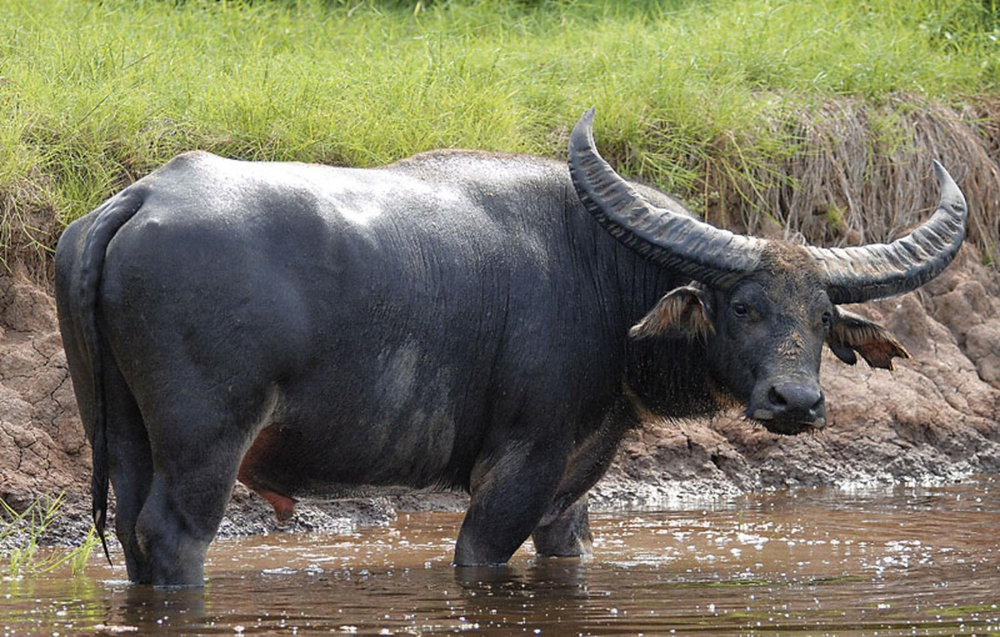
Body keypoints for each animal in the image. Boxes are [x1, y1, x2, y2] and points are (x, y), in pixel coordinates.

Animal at [52, 107, 960, 584]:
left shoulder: (575, 478)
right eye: (742, 305)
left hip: (120, 434)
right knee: (174, 536)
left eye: (822, 314)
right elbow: (480, 555)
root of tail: (138, 198)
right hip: (205, 442)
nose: (795, 402)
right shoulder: (517, 467)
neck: (602, 275)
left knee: (132, 531)